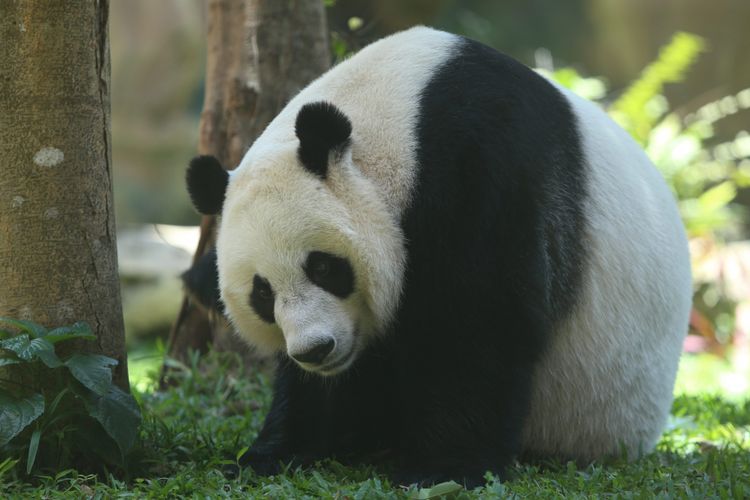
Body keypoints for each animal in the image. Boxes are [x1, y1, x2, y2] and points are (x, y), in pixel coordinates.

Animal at [187, 26, 692, 484]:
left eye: (324, 267)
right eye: (263, 295)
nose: (315, 349)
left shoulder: (484, 167)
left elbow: (478, 321)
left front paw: (442, 469)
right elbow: (321, 389)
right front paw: (267, 456)